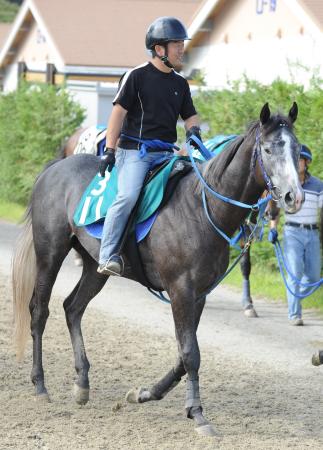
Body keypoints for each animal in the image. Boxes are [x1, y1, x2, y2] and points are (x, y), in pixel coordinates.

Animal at [12, 104, 304, 436]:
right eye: (268, 149)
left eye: (296, 149)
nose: (294, 197)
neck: (200, 207)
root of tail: (54, 168)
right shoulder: (180, 289)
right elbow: (190, 353)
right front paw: (198, 413)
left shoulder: (198, 294)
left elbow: (183, 355)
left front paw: (146, 393)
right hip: (50, 253)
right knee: (39, 311)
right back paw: (40, 385)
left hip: (94, 267)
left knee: (73, 308)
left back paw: (82, 383)